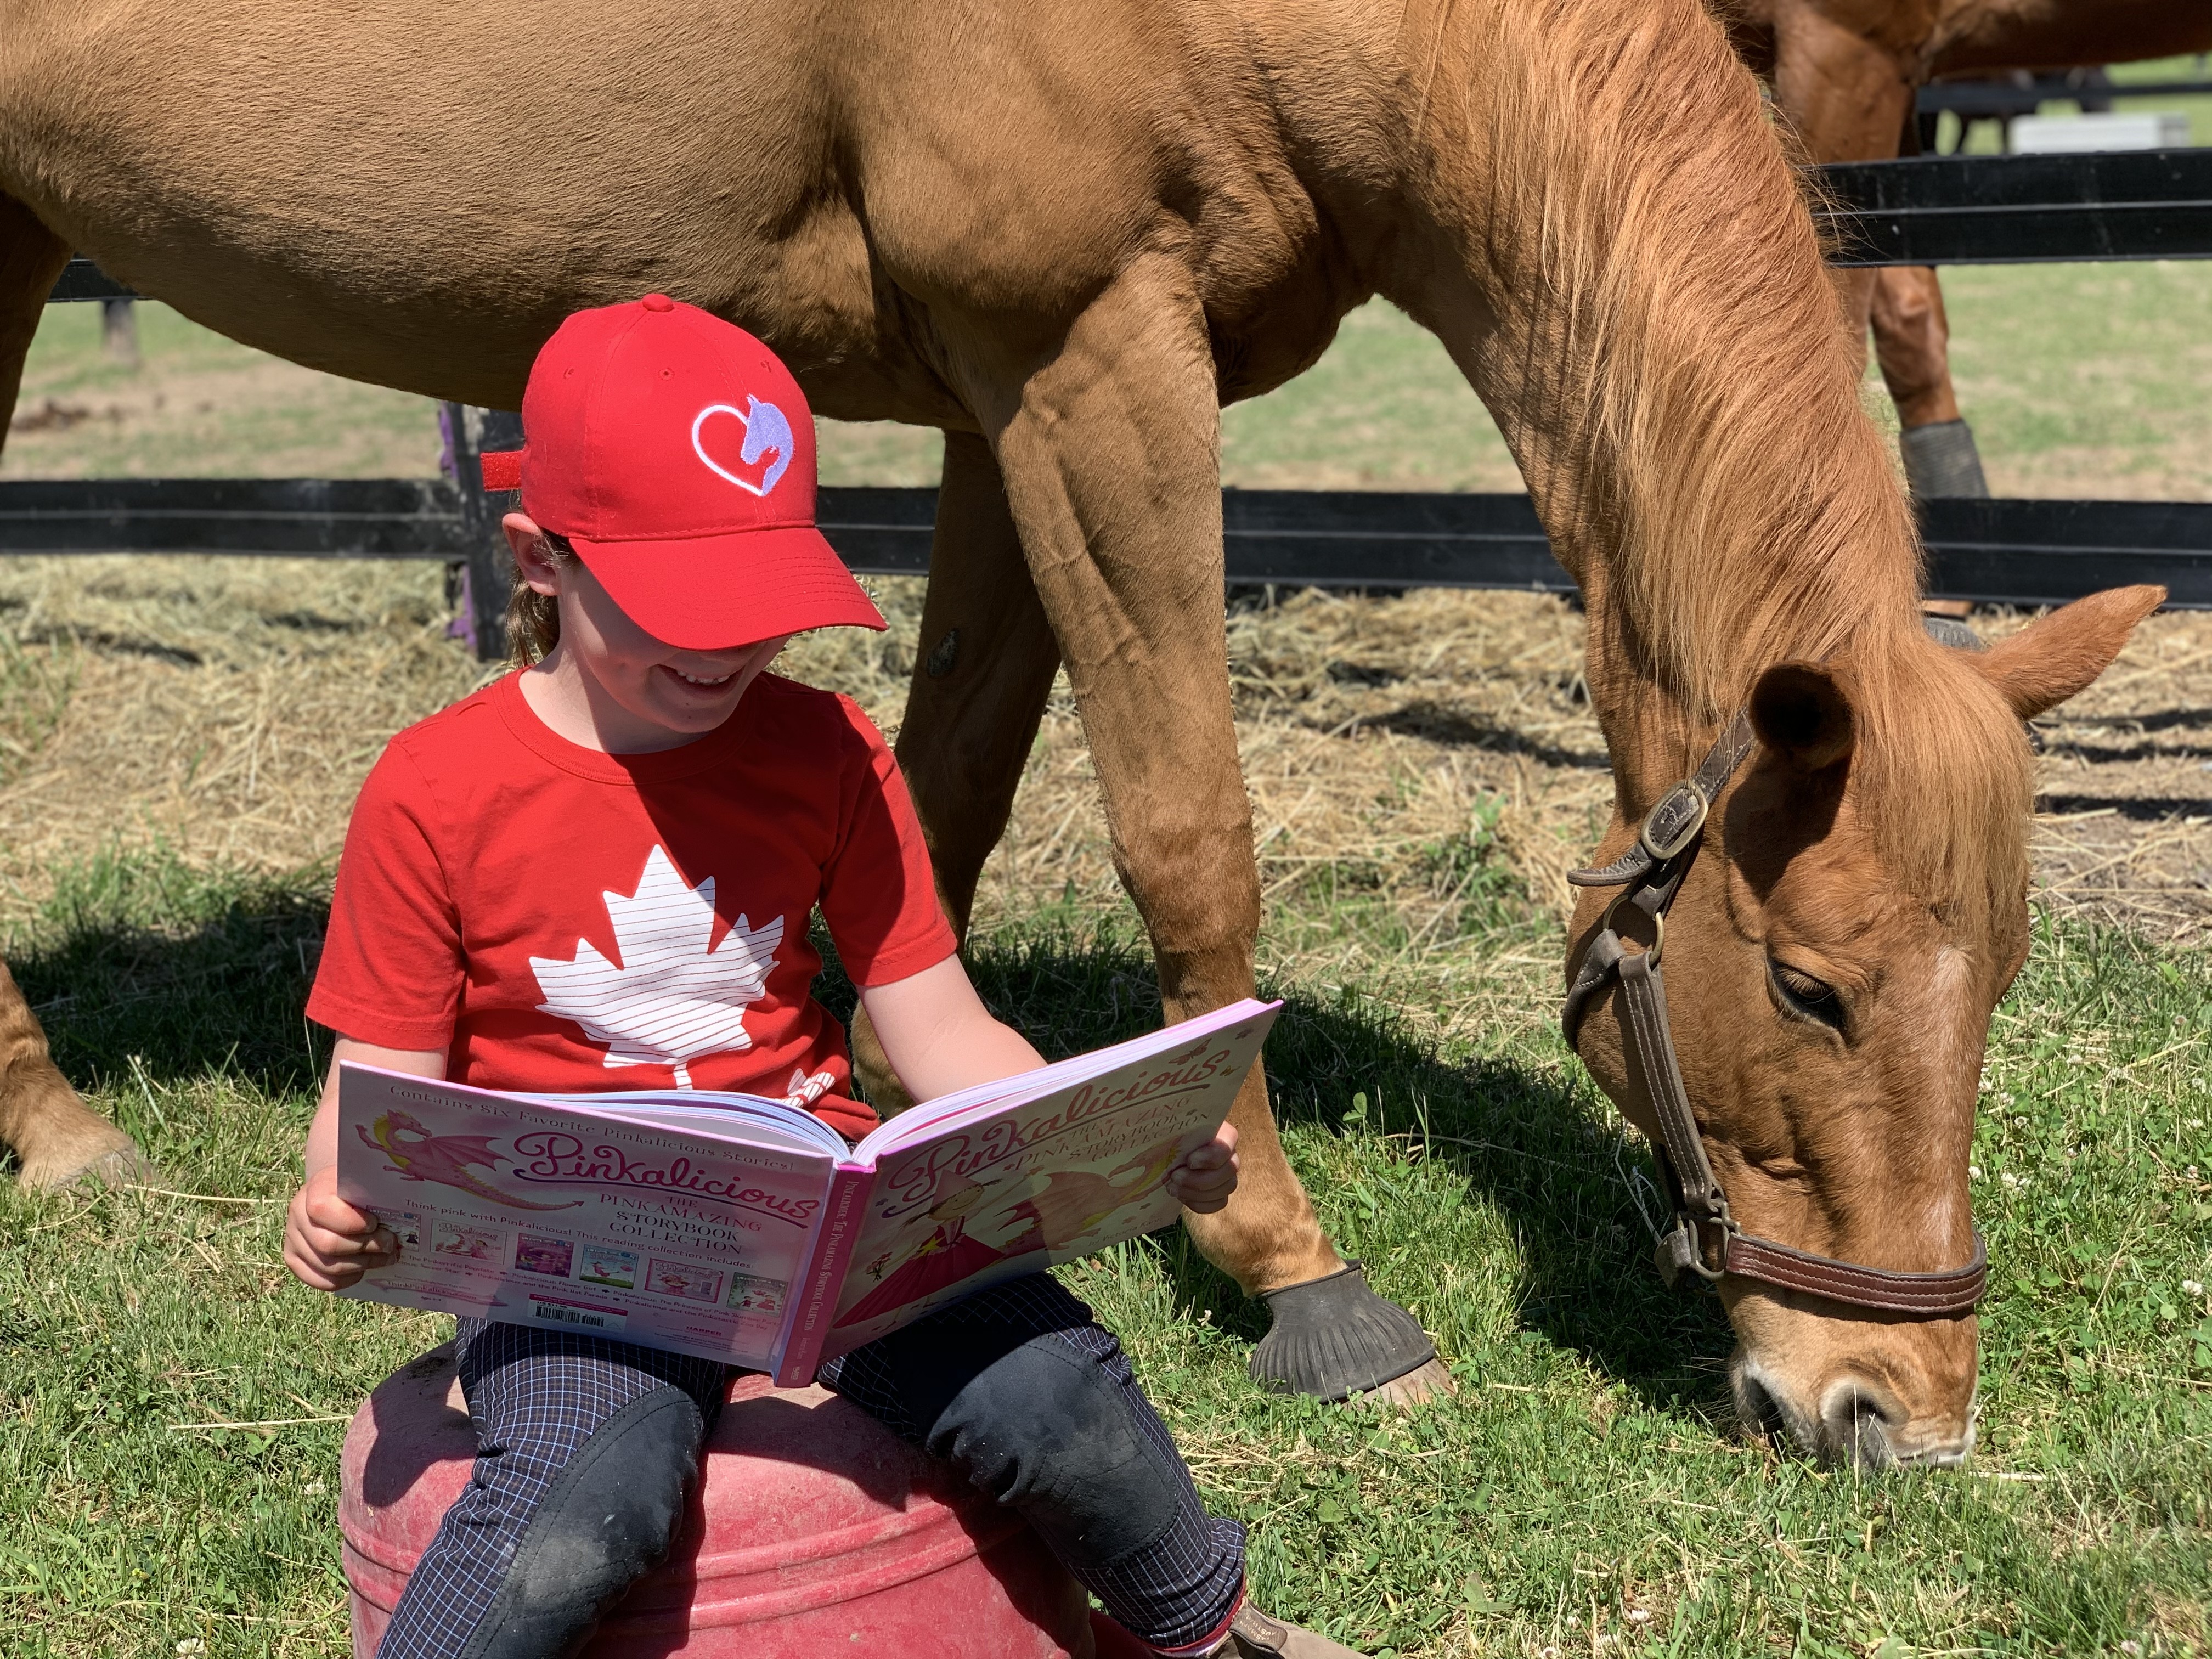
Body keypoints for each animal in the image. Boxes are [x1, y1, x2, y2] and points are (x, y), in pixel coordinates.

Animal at [0, 0, 2159, 1451]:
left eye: (2004, 978)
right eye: (1807, 989)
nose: (1896, 1410)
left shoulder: (994, 403)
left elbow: (937, 783)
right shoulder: (1087, 351)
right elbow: (1186, 830)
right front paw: (1291, 1265)